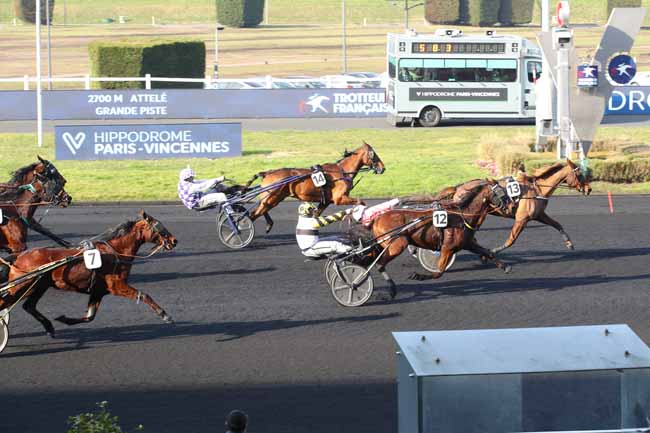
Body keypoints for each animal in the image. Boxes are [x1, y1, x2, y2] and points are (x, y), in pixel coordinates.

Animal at [0, 210, 177, 338]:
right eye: (159, 226)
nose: (174, 241)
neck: (115, 251)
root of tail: (18, 256)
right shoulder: (116, 285)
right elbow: (144, 295)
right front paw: (165, 315)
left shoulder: (99, 290)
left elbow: (90, 316)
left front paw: (65, 319)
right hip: (21, 286)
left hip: (39, 285)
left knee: (29, 306)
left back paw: (49, 328)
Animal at [246, 142, 382, 233]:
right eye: (373, 154)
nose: (382, 167)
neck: (342, 171)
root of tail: (267, 173)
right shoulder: (339, 198)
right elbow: (361, 202)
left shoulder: (326, 201)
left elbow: (316, 215)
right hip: (273, 197)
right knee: (254, 214)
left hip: (270, 198)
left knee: (260, 210)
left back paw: (268, 224)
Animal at [368, 179, 508, 296]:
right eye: (501, 192)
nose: (509, 206)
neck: (462, 216)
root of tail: (377, 219)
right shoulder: (448, 248)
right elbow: (439, 273)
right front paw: (418, 276)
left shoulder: (467, 243)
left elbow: (488, 252)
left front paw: (505, 266)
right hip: (397, 244)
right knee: (380, 264)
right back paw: (390, 288)